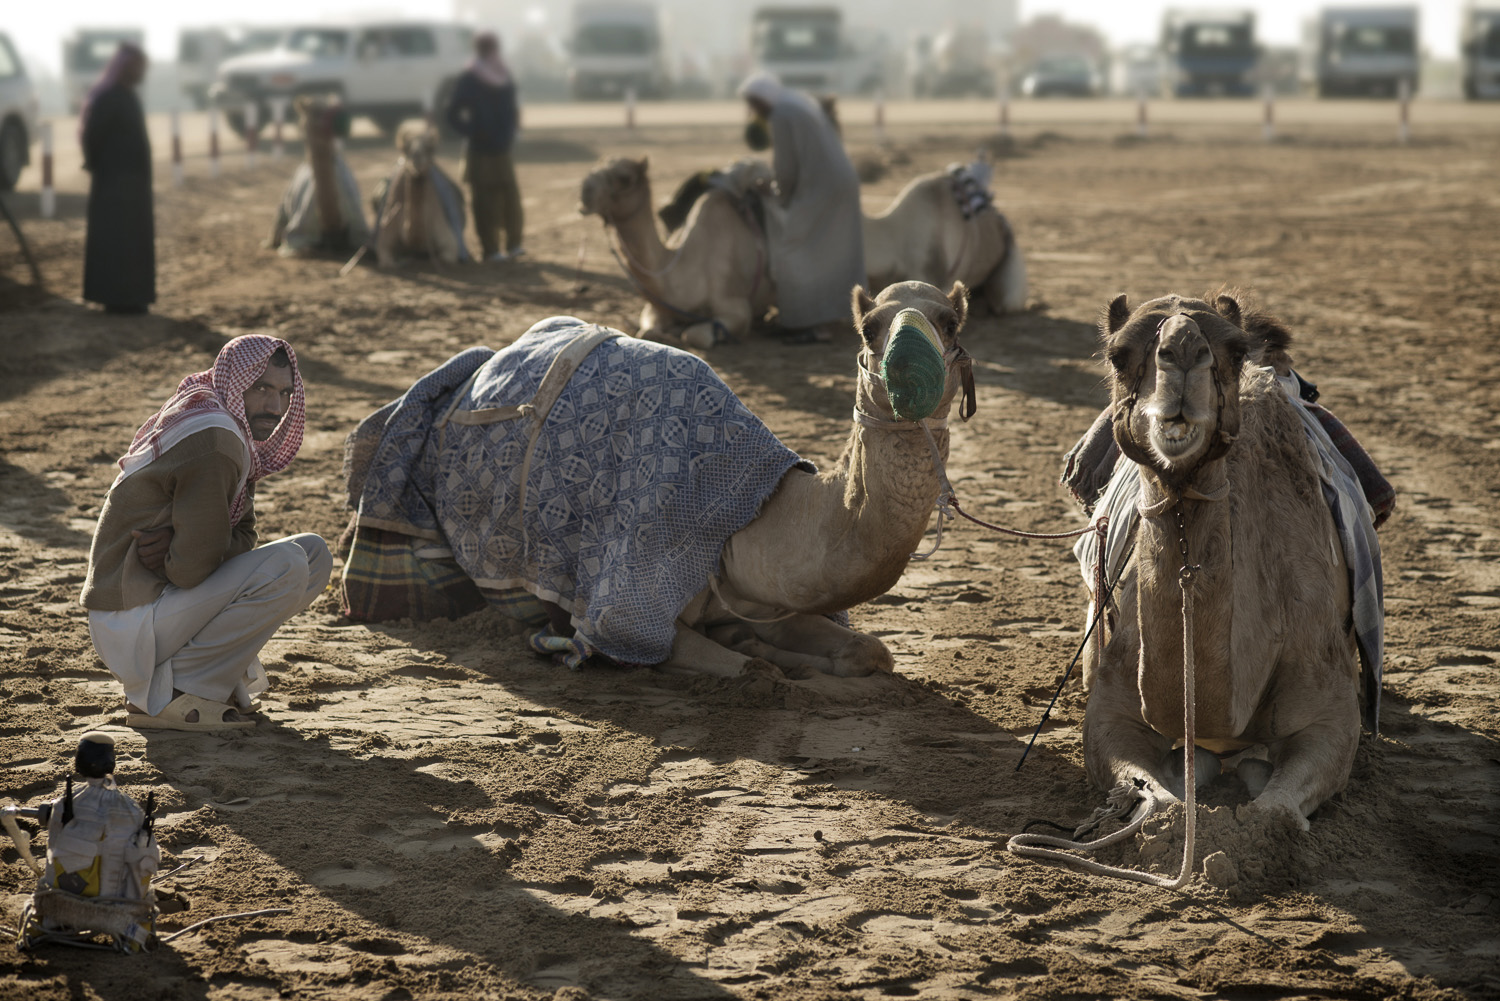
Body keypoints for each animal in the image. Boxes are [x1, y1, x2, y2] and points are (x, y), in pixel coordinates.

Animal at [267, 96, 369, 258]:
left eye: (333, 106)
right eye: (314, 112)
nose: (343, 120)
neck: (332, 225)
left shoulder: (360, 232)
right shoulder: (296, 236)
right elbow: (304, 248)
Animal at [339, 277, 972, 678]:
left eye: (950, 320)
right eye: (868, 327)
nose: (907, 366)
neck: (752, 519)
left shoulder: (773, 600)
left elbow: (871, 652)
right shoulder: (620, 608)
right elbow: (749, 669)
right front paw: (762, 657)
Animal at [369, 123, 468, 268]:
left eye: (430, 149)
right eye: (406, 149)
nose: (417, 158)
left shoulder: (447, 237)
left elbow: (447, 256)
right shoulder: (385, 236)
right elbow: (386, 258)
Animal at [579, 158, 1026, 351]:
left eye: (623, 177)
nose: (583, 192)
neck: (677, 270)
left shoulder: (735, 307)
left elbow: (700, 334)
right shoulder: (657, 306)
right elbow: (649, 329)